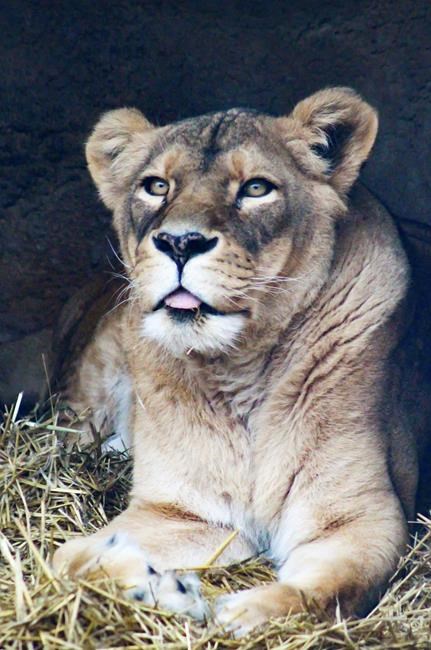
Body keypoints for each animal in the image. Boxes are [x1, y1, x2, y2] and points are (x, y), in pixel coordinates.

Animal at [52, 87, 418, 636]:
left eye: (256, 188)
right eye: (156, 186)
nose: (180, 242)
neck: (239, 365)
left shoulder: (360, 517)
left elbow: (320, 591)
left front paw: (239, 611)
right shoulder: (183, 513)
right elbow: (70, 558)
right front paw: (160, 587)